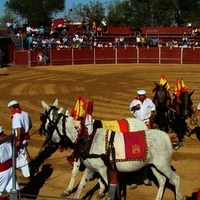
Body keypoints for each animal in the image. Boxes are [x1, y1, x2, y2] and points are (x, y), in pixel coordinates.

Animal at [39, 99, 184, 199]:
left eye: (49, 124)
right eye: (44, 120)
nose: (49, 143)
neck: (87, 137)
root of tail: (166, 137)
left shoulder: (104, 169)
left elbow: (109, 187)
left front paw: (102, 191)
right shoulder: (90, 168)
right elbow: (80, 185)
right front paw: (71, 191)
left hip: (163, 165)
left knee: (176, 179)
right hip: (154, 165)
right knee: (162, 180)